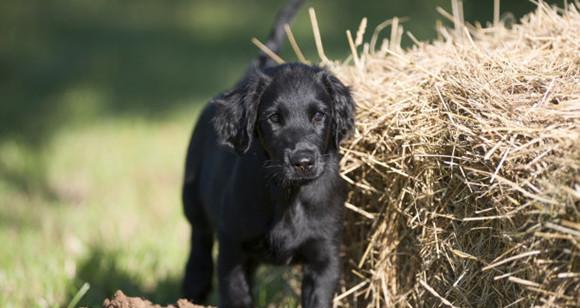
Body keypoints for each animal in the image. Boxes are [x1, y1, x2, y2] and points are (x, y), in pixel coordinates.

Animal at [181, 1, 356, 306]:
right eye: (274, 118)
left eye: (319, 115)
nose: (303, 162)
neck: (289, 195)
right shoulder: (233, 254)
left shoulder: (325, 258)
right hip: (193, 203)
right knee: (198, 250)